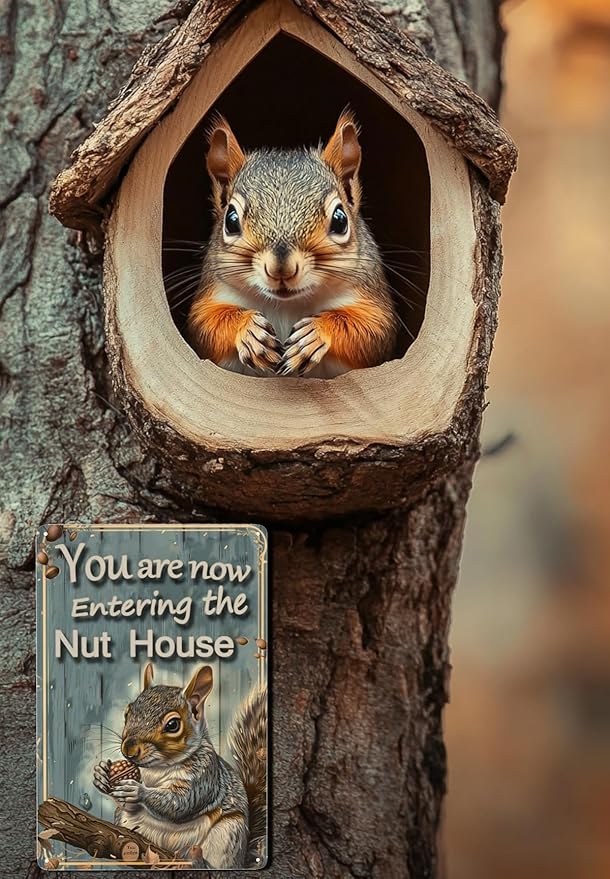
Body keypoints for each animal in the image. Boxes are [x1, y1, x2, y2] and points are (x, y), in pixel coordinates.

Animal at [93, 663, 266, 869]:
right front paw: (101, 774)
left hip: (230, 832)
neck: (158, 767)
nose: (129, 750)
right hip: (124, 819)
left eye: (173, 725)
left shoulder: (205, 775)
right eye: (127, 712)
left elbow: (181, 801)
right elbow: (127, 803)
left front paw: (138, 791)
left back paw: (198, 861)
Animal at [187, 110, 397, 378]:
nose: (281, 269)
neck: (287, 305)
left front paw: (315, 334)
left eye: (340, 220)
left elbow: (373, 332)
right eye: (231, 220)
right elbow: (205, 325)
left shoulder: (370, 297)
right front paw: (250, 332)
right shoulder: (213, 292)